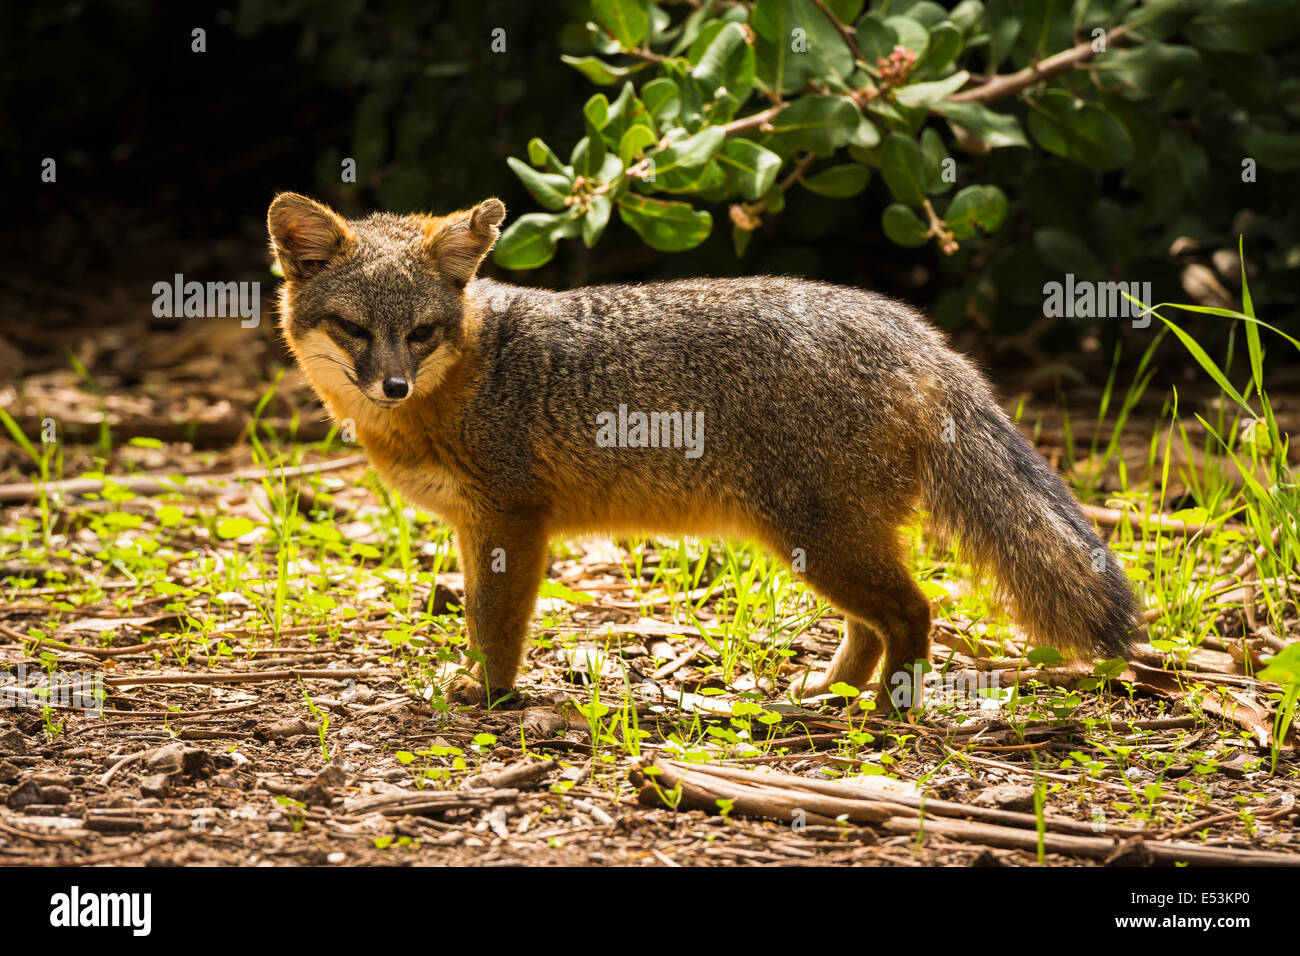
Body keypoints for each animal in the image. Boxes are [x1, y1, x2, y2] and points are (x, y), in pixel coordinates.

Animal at [266, 192, 1138, 712]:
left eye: (420, 333)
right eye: (354, 328)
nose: (393, 385)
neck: (466, 374)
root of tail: (915, 333)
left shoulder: (512, 522)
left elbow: (496, 624)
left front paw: (490, 698)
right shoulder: (474, 527)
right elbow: (481, 616)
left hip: (820, 539)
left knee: (914, 612)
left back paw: (886, 711)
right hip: (823, 542)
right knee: (876, 622)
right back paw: (825, 692)